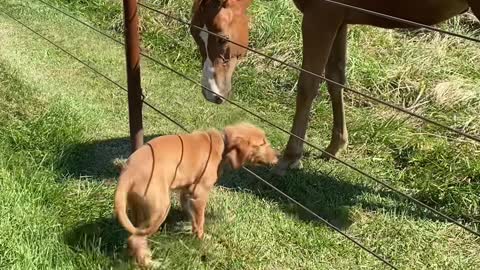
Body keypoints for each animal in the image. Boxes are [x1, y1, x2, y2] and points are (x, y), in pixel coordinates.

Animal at [114, 123, 278, 266]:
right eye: (262, 144)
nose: (278, 156)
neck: (222, 143)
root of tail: (127, 172)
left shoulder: (187, 192)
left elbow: (192, 216)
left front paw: (191, 231)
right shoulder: (199, 194)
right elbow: (200, 219)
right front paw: (201, 239)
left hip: (138, 206)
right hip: (160, 207)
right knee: (135, 238)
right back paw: (149, 263)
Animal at [189, 0, 478, 175]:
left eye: (221, 38)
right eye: (194, 32)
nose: (212, 93)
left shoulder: (320, 17)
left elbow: (308, 83)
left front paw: (290, 157)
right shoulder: (340, 19)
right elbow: (335, 78)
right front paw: (335, 146)